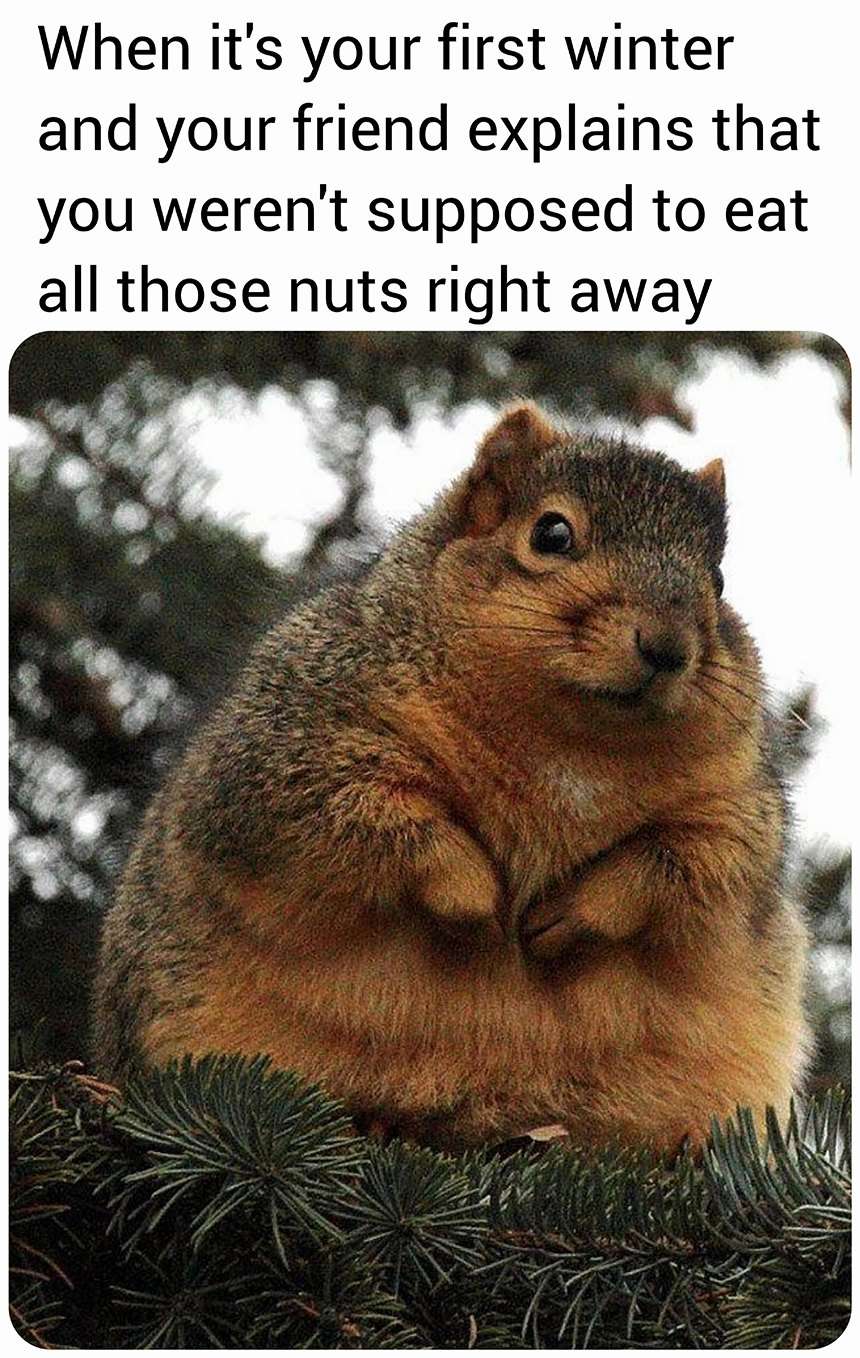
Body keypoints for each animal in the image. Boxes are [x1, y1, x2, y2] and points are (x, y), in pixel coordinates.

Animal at [92, 403, 811, 1152]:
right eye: (552, 533)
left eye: (719, 582)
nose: (668, 647)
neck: (573, 741)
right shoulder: (296, 744)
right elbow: (375, 821)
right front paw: (476, 897)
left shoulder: (736, 804)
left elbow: (693, 866)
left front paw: (573, 913)